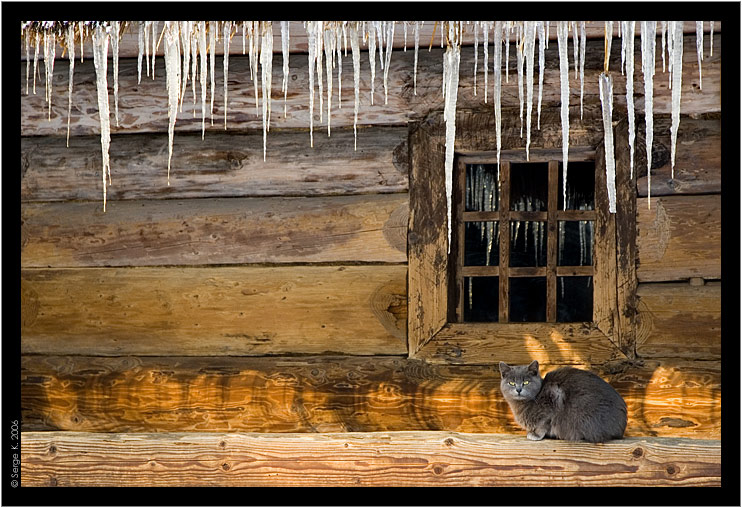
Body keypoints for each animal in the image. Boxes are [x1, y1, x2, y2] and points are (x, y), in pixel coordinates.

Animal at [500, 360, 628, 442]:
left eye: (526, 382)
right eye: (511, 383)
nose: (518, 389)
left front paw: (536, 435)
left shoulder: (553, 397)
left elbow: (543, 424)